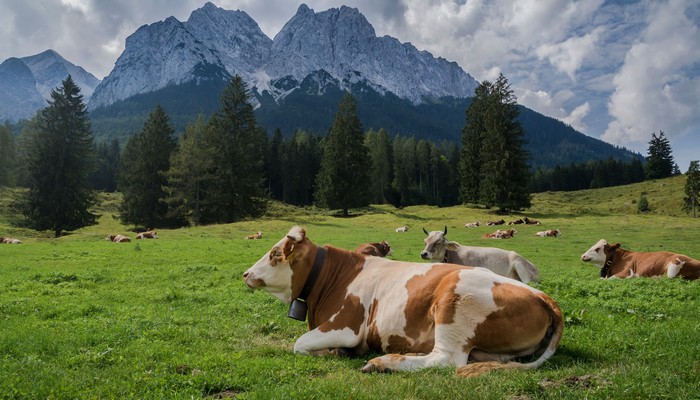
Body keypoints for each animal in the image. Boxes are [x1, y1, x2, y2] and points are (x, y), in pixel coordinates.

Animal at [242, 227, 564, 376]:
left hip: (454, 307)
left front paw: (334, 352)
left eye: (274, 254)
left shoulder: (347, 327)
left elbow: (299, 345)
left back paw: (383, 362)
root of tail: (544, 296)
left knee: (444, 359)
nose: (246, 273)